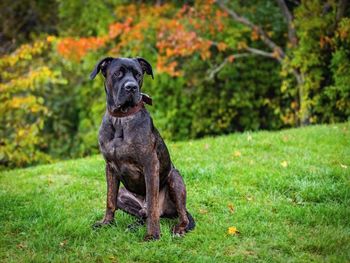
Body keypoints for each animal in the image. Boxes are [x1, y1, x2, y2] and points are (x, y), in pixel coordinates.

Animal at [89, 57, 194, 241]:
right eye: (118, 73)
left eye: (138, 74)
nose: (131, 87)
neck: (121, 119)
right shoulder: (110, 167)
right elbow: (109, 201)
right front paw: (106, 223)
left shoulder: (150, 165)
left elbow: (152, 204)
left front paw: (153, 235)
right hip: (123, 195)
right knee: (141, 213)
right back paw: (134, 225)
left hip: (175, 180)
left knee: (179, 214)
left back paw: (178, 229)